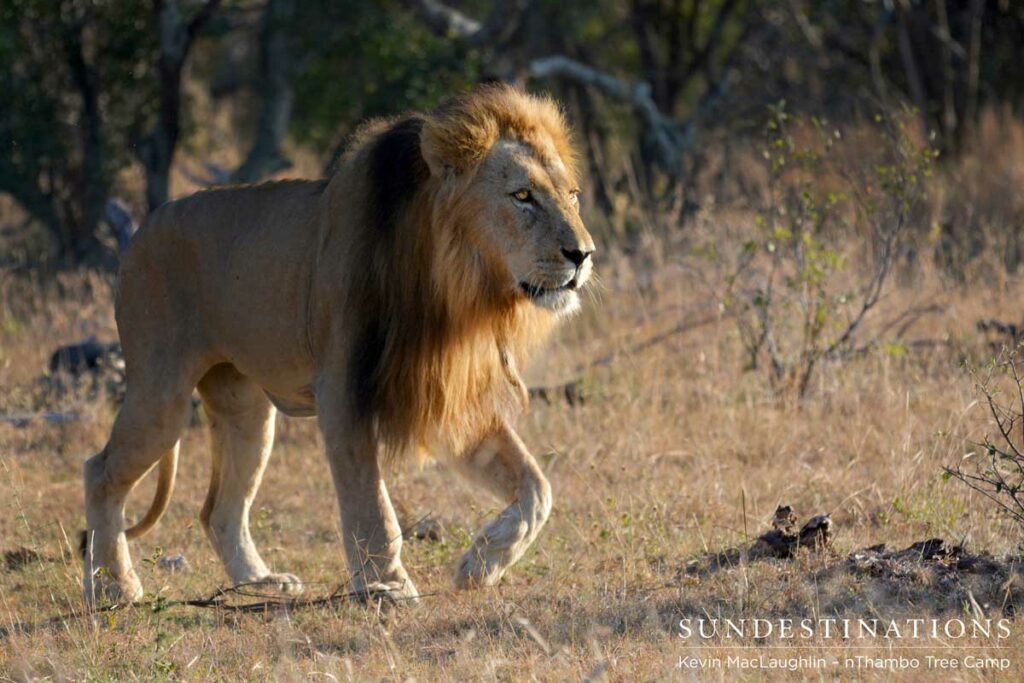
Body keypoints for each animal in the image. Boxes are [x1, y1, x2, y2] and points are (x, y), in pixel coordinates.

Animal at [82, 84, 596, 606]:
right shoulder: (344, 389)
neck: (456, 287)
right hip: (160, 392)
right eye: (523, 196)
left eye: (573, 196)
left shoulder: (448, 395)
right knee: (100, 471)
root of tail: (143, 227)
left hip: (245, 410)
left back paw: (260, 581)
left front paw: (480, 564)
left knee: (218, 509)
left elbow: (537, 487)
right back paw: (112, 587)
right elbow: (370, 502)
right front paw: (388, 586)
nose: (583, 254)